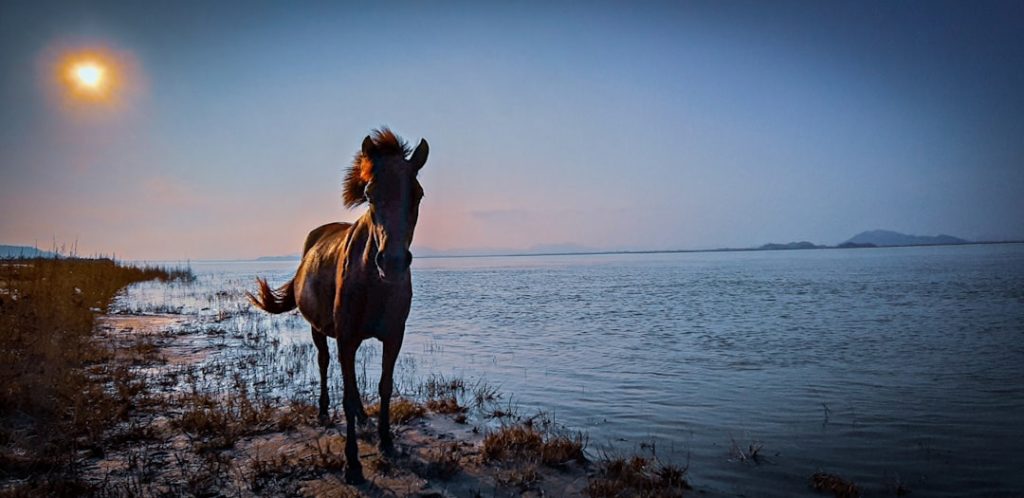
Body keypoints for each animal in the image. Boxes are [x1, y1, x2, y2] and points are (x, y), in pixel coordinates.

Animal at [246, 128, 428, 484]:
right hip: (319, 331)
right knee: (324, 364)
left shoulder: (393, 337)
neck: (374, 284)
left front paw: (386, 442)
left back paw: (363, 418)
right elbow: (345, 392)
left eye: (418, 194)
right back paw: (322, 412)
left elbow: (384, 387)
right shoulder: (346, 337)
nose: (393, 263)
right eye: (369, 194)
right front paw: (352, 464)